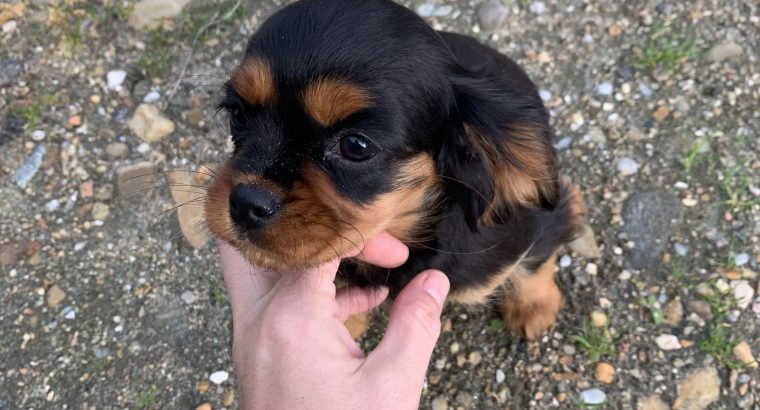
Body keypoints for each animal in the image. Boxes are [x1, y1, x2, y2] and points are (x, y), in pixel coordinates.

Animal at [203, 0, 588, 340]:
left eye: (355, 146)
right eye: (236, 113)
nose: (245, 203)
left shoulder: (526, 227)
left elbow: (538, 256)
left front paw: (533, 306)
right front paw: (344, 325)